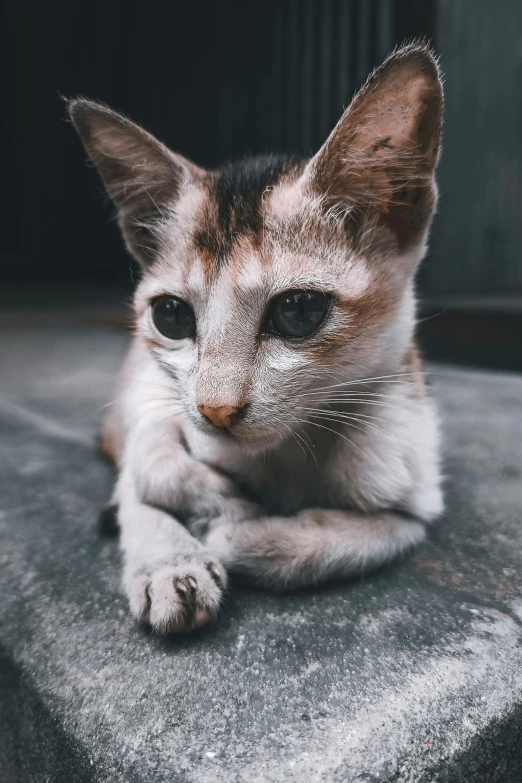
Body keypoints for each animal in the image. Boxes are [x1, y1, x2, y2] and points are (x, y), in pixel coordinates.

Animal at [68, 41, 442, 632]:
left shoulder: (415, 491)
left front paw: (241, 534)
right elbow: (144, 478)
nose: (217, 409)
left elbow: (356, 539)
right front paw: (174, 555)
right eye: (171, 317)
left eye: (298, 311)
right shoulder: (158, 392)